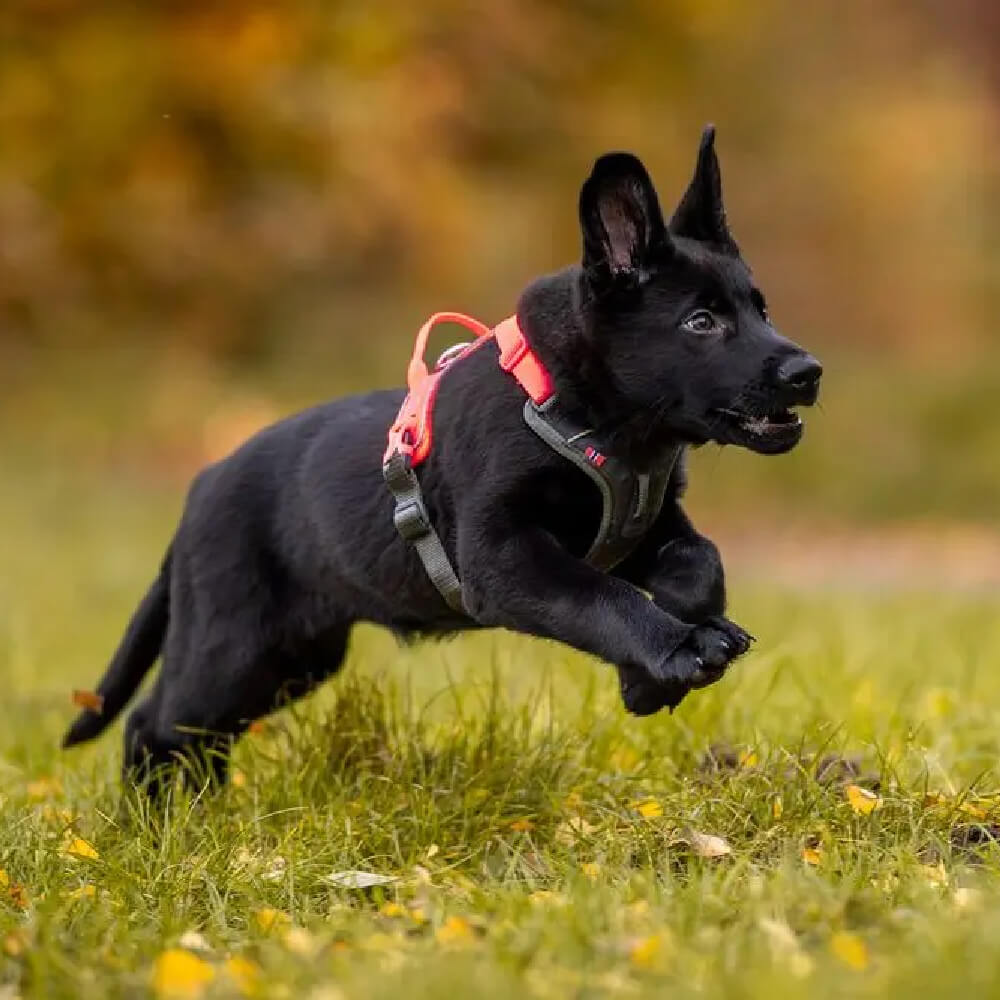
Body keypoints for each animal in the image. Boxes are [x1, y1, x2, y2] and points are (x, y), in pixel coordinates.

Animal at [66, 125, 824, 784]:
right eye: (701, 322)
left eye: (761, 309)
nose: (808, 372)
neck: (589, 414)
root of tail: (201, 486)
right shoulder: (503, 555)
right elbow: (600, 596)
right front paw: (674, 652)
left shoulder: (645, 524)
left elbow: (701, 565)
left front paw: (653, 672)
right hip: (234, 643)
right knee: (155, 723)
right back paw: (156, 826)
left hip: (293, 655)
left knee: (191, 732)